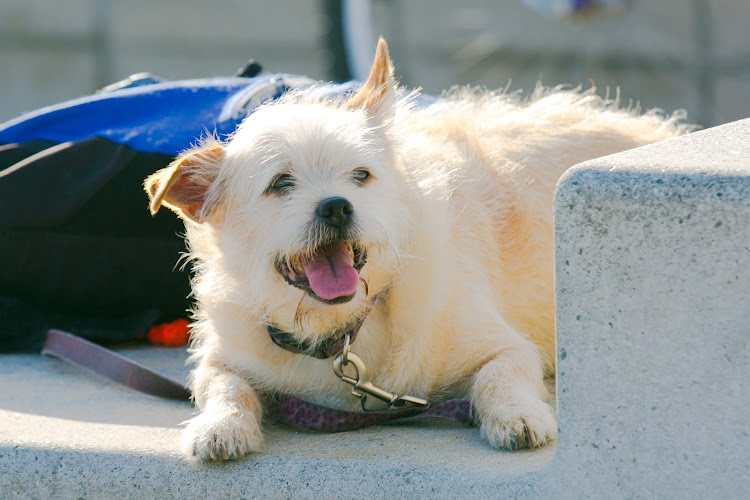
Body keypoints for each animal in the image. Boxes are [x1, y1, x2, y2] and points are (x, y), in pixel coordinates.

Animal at [144, 39, 692, 460]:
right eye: (280, 184)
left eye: (361, 175)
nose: (337, 207)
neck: (340, 333)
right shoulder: (223, 358)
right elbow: (224, 387)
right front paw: (221, 425)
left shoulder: (509, 347)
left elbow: (502, 376)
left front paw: (518, 414)